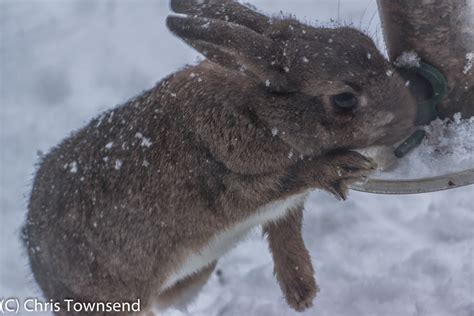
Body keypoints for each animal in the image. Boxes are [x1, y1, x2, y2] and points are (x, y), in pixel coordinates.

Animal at [21, 1, 414, 314]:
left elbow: (285, 228)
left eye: (364, 41)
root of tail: (37, 263)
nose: (411, 113)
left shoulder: (280, 207)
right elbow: (292, 180)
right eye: (344, 99)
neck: (259, 112)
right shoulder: (234, 186)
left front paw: (301, 292)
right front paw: (345, 166)